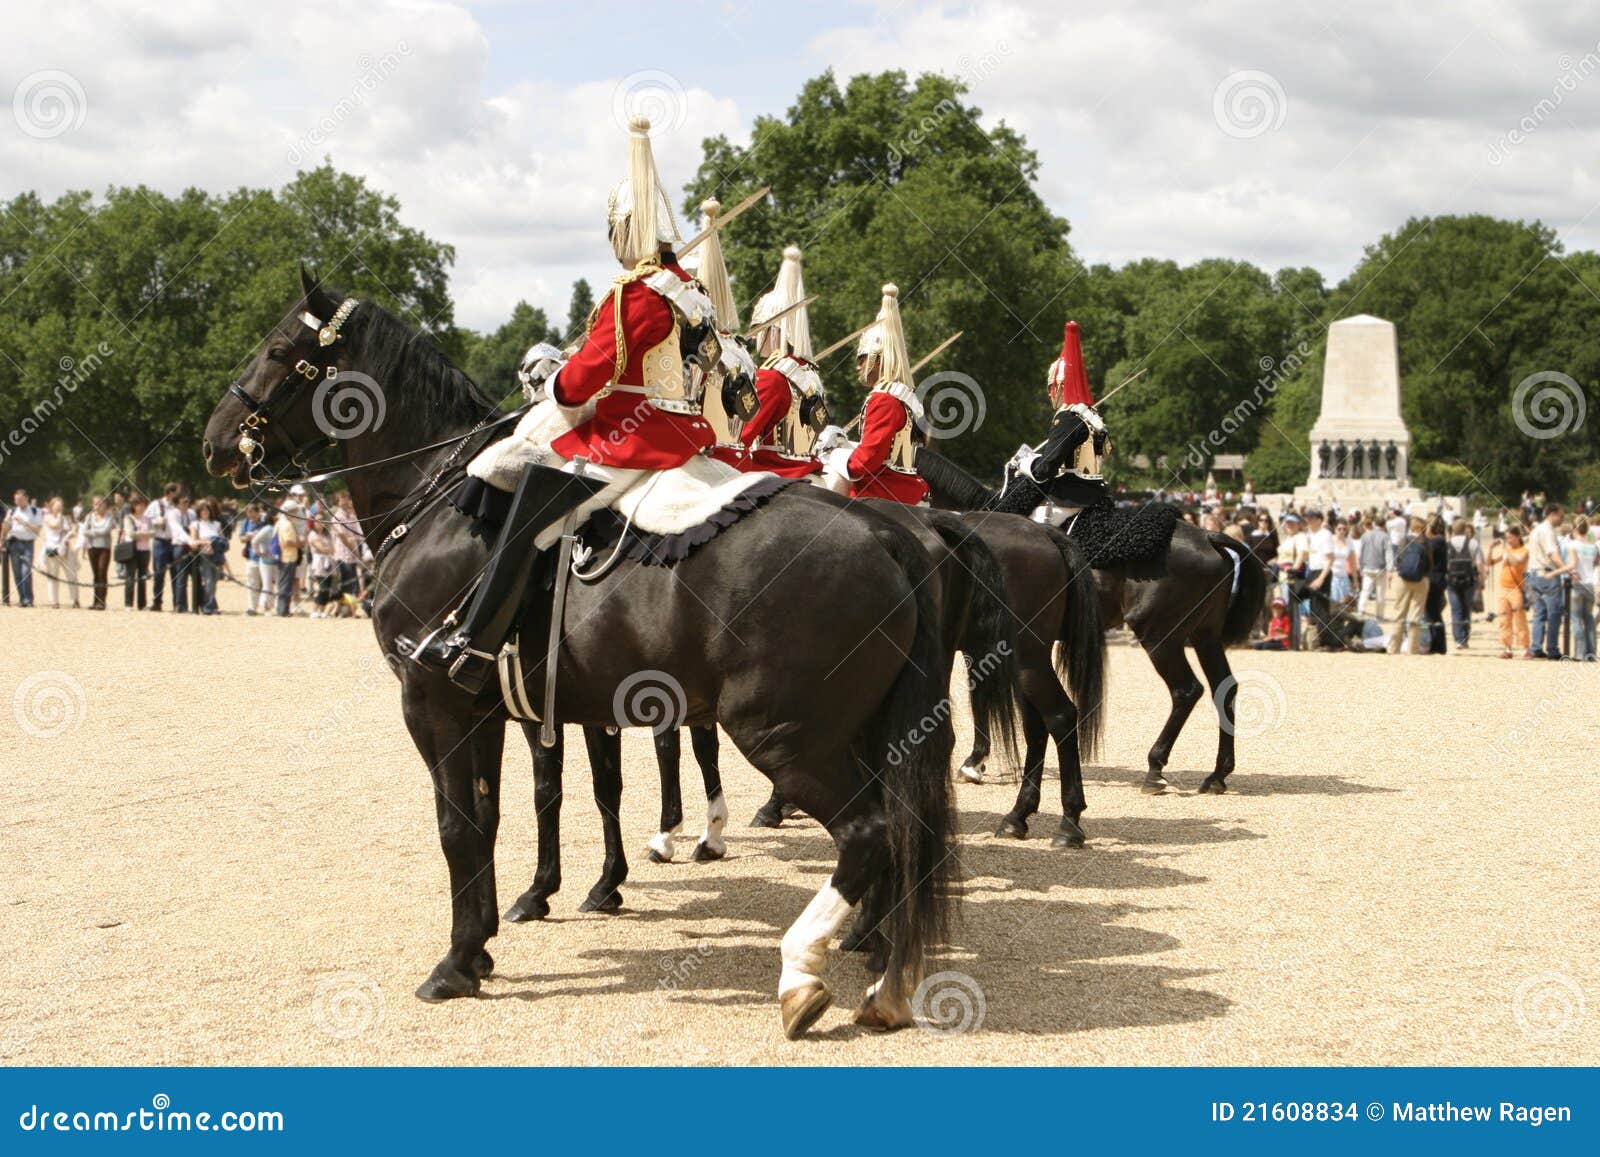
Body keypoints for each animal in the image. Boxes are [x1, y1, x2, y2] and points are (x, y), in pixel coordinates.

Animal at [203, 272, 1024, 1043]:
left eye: (280, 350)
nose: (213, 442)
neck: (438, 501)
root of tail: (885, 532)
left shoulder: (434, 701)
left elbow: (460, 825)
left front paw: (458, 960)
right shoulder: (495, 706)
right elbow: (504, 812)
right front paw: (500, 932)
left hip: (783, 732)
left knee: (868, 834)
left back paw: (805, 973)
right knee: (901, 832)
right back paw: (881, 970)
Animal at [921, 448, 1267, 790]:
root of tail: (1208, 536)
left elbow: (978, 697)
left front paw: (974, 761)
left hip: (1159, 638)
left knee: (1186, 690)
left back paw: (1155, 766)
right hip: (1204, 636)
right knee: (1224, 687)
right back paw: (1218, 774)